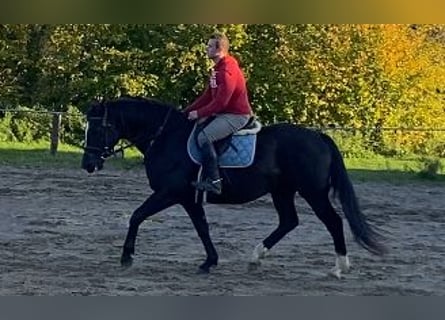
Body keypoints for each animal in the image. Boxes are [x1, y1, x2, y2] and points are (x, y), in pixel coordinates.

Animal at [81, 96, 384, 278]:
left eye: (97, 129)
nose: (88, 164)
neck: (165, 137)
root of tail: (318, 136)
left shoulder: (169, 193)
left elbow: (137, 216)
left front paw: (126, 257)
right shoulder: (189, 198)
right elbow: (202, 228)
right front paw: (210, 261)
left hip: (313, 192)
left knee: (333, 221)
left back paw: (339, 267)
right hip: (282, 191)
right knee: (289, 221)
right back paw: (256, 256)